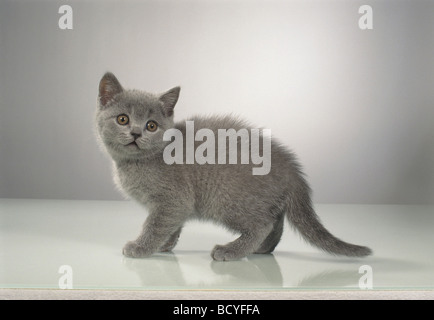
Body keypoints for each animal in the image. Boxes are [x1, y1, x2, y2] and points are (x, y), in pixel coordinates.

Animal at [96, 73, 372, 262]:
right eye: (123, 119)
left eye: (151, 125)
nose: (135, 133)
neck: (136, 162)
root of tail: (291, 168)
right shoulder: (175, 206)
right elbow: (171, 224)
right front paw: (166, 245)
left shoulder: (174, 199)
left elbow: (156, 224)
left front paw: (141, 247)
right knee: (276, 222)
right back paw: (262, 249)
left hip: (228, 199)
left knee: (263, 225)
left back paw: (230, 250)